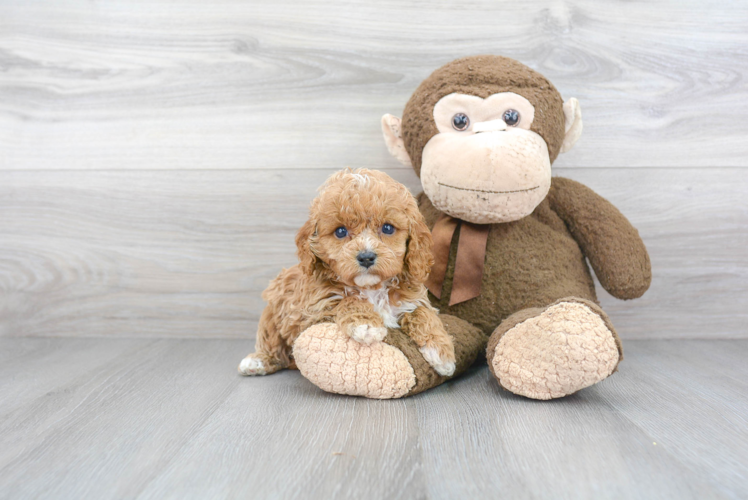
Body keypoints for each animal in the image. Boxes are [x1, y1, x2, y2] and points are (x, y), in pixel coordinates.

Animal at [240, 167, 456, 376]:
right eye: (341, 231)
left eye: (387, 228)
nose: (366, 257)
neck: (372, 288)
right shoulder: (312, 311)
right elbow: (346, 300)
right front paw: (366, 325)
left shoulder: (411, 299)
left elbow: (422, 312)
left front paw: (441, 352)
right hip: (272, 312)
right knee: (271, 342)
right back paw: (257, 361)